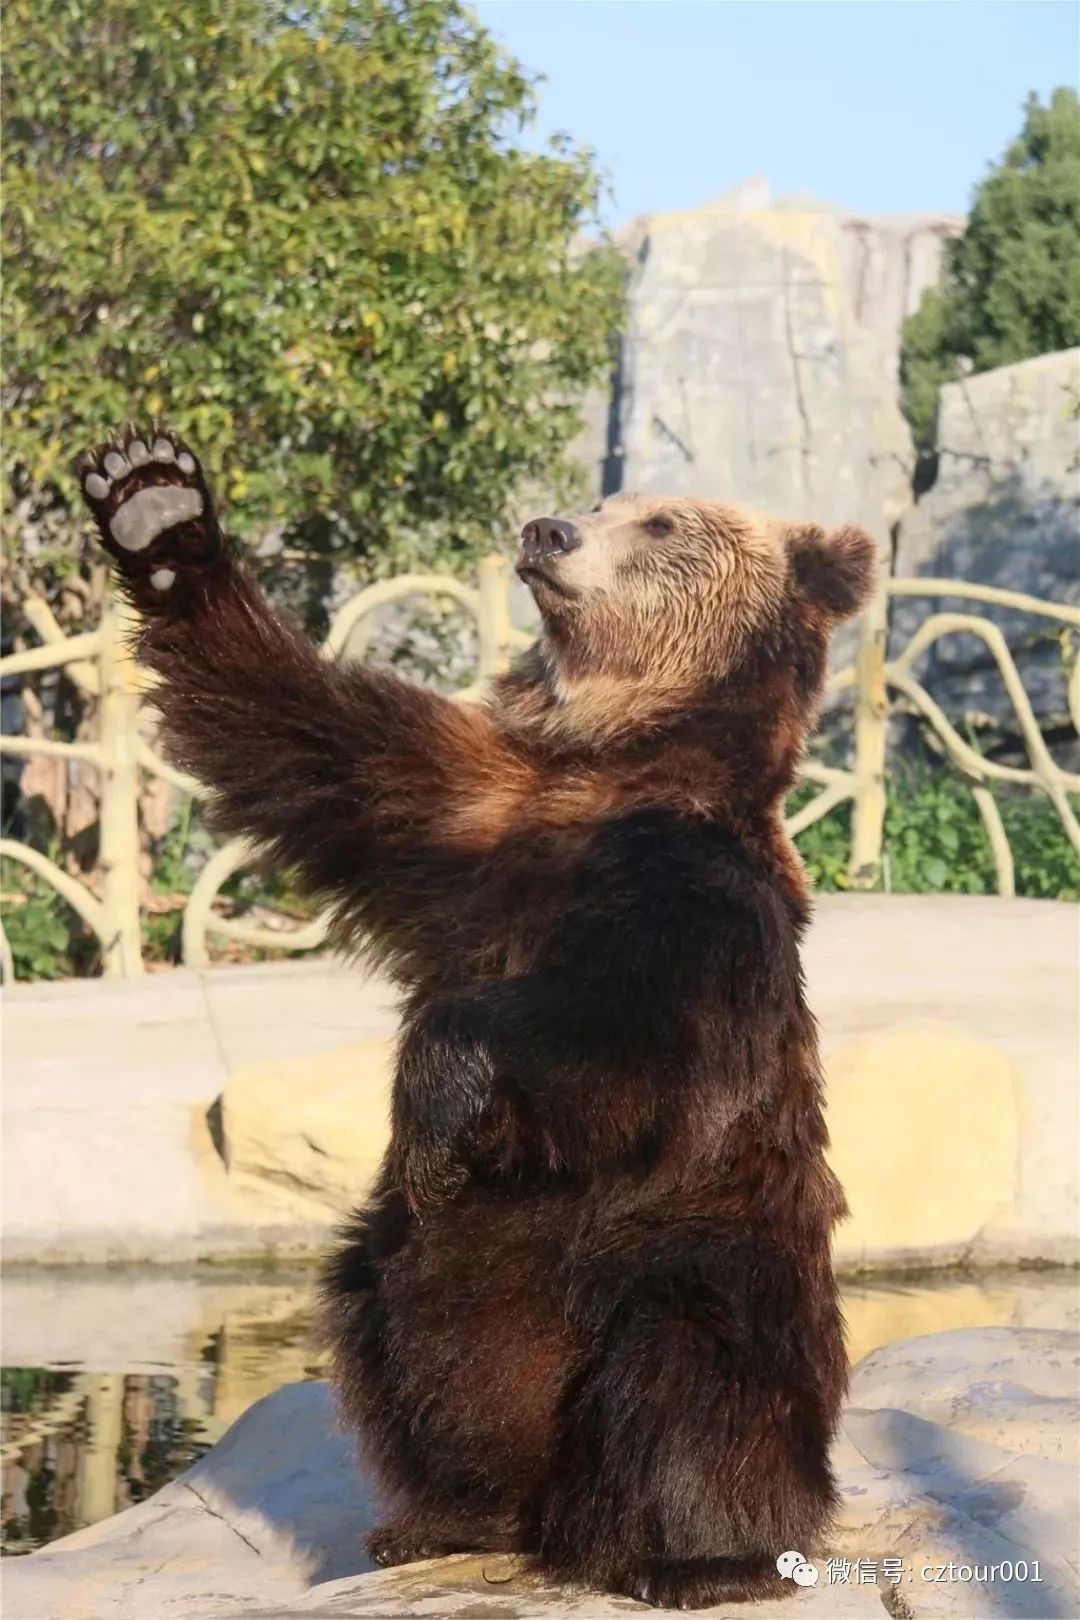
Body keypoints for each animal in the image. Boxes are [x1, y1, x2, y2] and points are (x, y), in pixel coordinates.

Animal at [78, 424, 880, 1613]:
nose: (547, 532)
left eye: (661, 522)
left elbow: (627, 1048)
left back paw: (699, 1556)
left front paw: (440, 1086)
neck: (614, 754)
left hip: (700, 1258)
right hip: (426, 1295)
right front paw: (153, 503)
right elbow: (296, 731)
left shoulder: (689, 904)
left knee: (688, 1376)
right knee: (386, 1327)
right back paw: (440, 1515)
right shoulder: (461, 810)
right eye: (599, 502)